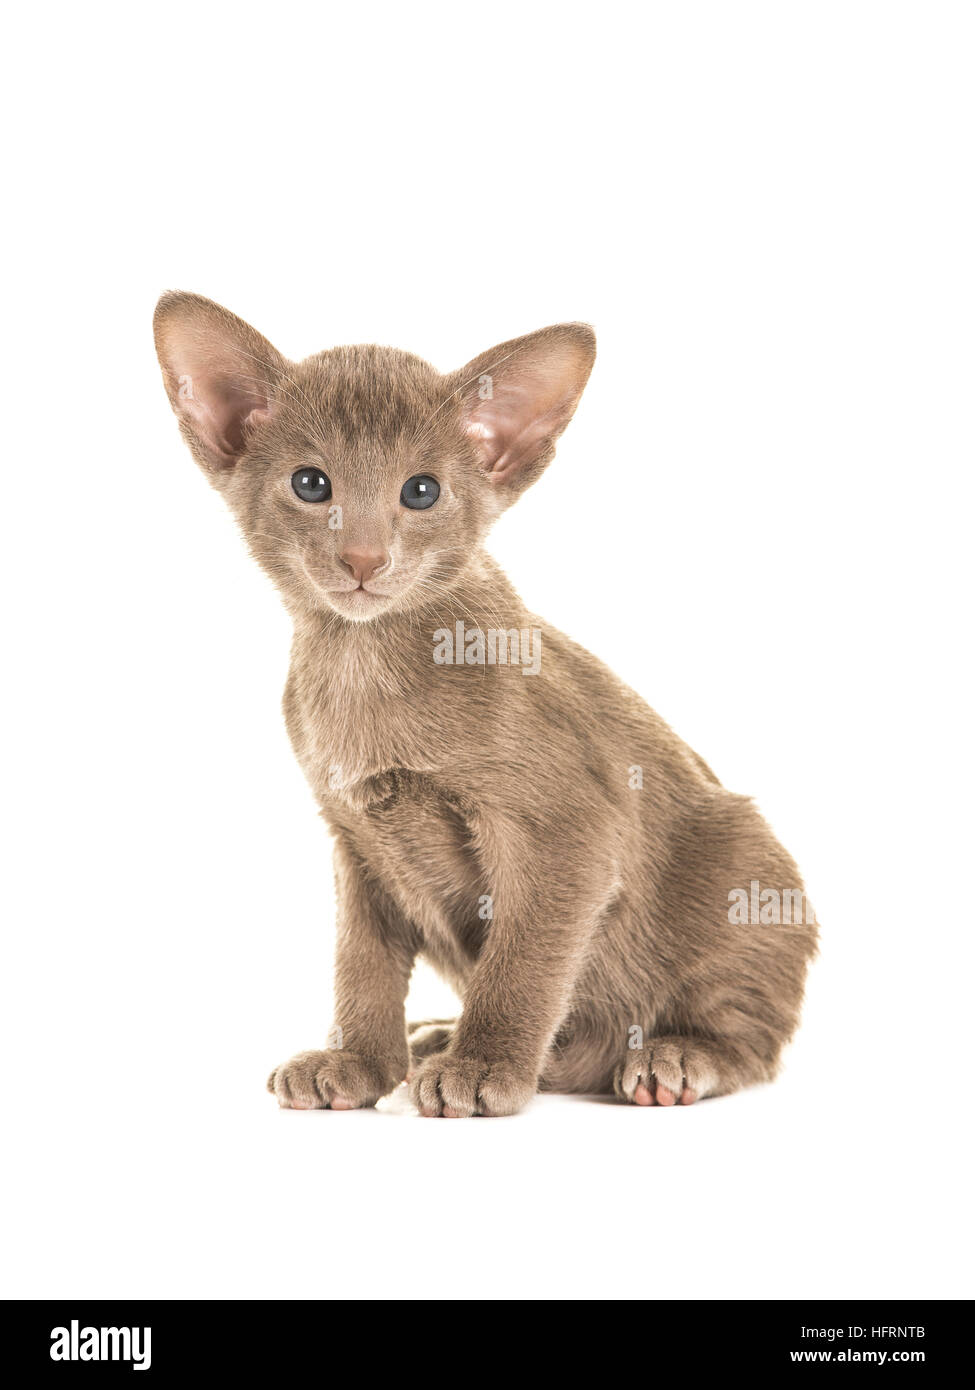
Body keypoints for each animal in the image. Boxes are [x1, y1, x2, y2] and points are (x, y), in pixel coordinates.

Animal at [157, 296, 812, 1117]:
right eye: (310, 484)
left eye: (421, 491)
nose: (364, 558)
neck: (363, 666)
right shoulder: (355, 839)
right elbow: (360, 966)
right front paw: (358, 1062)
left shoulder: (566, 833)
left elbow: (520, 965)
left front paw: (483, 1065)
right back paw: (437, 1035)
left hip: (744, 861)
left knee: (753, 1033)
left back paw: (676, 1055)